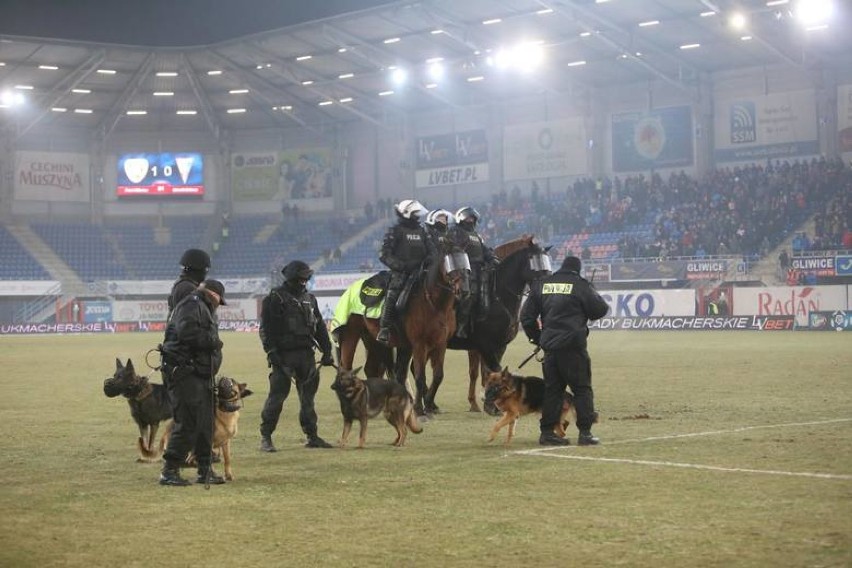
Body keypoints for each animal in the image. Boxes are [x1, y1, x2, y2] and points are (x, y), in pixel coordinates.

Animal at [336, 251, 470, 414]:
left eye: (466, 264)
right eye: (450, 266)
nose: (464, 290)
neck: (434, 304)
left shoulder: (440, 343)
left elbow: (438, 375)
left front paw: (430, 404)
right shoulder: (419, 345)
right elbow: (420, 376)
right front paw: (419, 408)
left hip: (374, 340)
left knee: (373, 369)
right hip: (351, 335)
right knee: (347, 367)